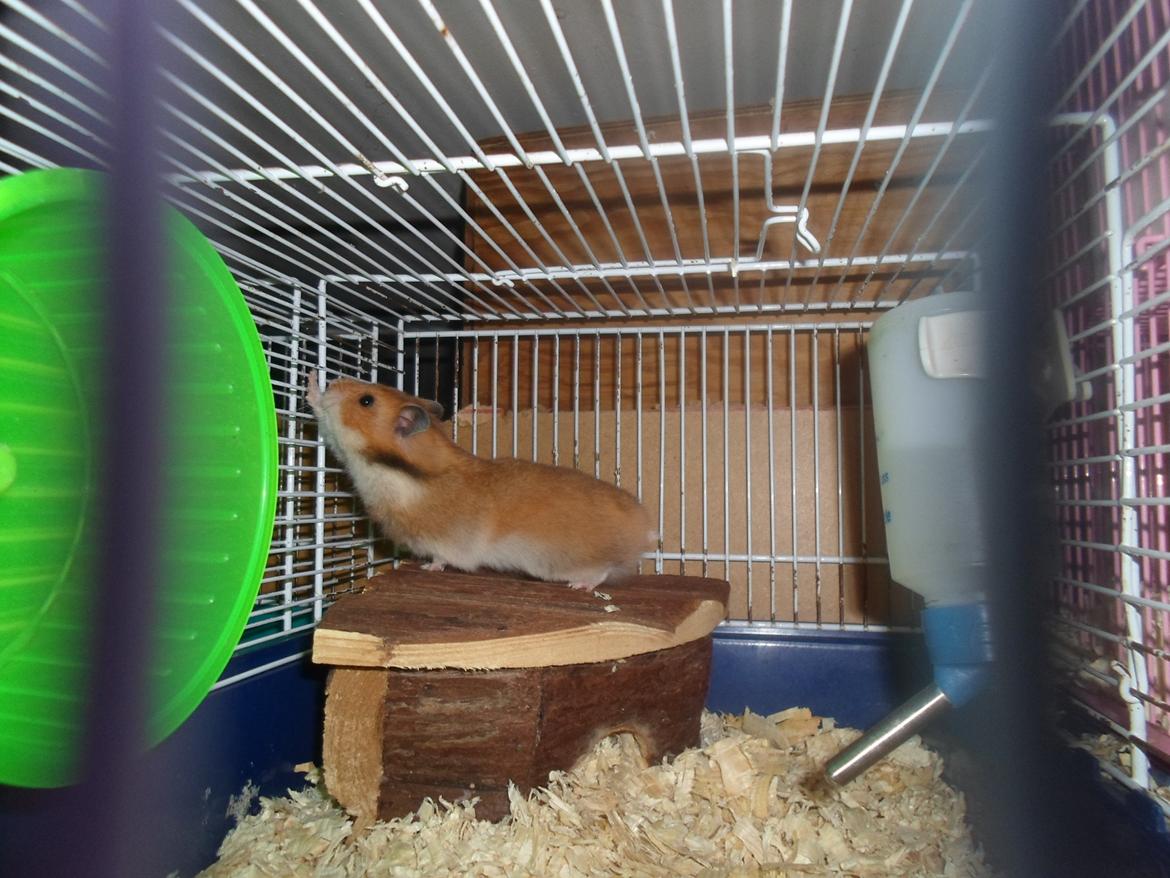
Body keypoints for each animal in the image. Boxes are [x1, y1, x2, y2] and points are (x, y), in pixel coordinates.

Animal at [306, 371, 656, 591]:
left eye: (366, 401)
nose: (335, 380)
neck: (407, 470)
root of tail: (643, 524)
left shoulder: (438, 541)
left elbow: (440, 558)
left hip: (560, 563)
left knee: (603, 570)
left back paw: (579, 585)